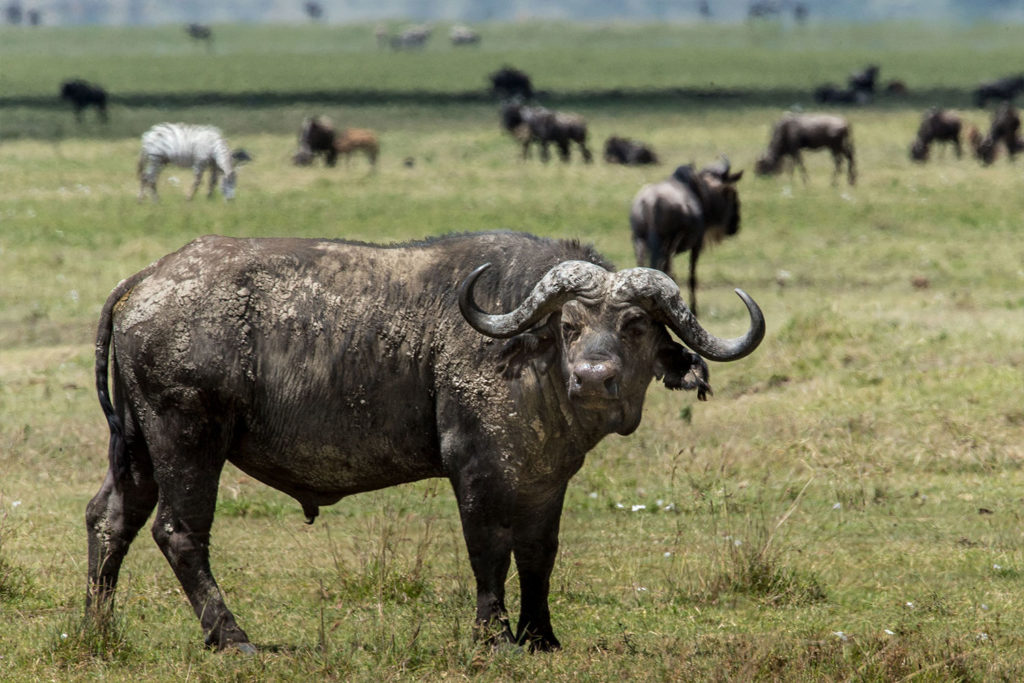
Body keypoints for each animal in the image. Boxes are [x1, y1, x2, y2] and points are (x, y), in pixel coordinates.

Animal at [86, 232, 761, 655]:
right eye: (570, 325)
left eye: (637, 324)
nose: (595, 377)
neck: (529, 361)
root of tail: (148, 278)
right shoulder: (476, 472)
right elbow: (489, 553)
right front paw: (495, 638)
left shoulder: (547, 482)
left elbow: (539, 556)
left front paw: (541, 636)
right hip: (188, 437)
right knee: (178, 531)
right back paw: (232, 637)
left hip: (137, 445)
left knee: (110, 517)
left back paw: (98, 627)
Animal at [630, 160, 745, 317]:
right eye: (733, 194)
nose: (735, 226)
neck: (700, 194)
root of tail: (649, 202)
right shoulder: (697, 244)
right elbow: (692, 277)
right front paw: (694, 308)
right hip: (662, 244)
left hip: (639, 240)